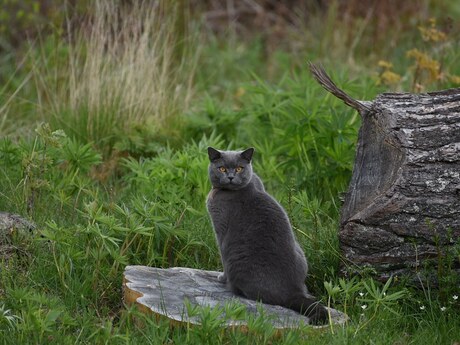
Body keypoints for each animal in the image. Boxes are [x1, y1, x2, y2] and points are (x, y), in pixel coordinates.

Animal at [207, 146, 328, 324]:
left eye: (239, 168)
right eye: (222, 168)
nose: (230, 176)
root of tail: (292, 291)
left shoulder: (221, 232)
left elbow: (222, 256)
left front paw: (222, 277)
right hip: (300, 251)